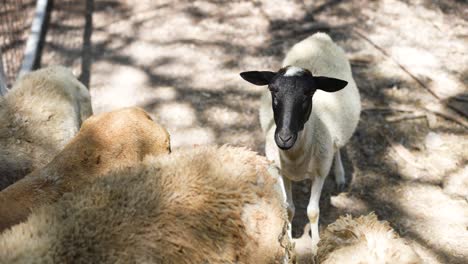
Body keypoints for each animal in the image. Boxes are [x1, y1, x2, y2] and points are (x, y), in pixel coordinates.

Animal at [241, 31, 362, 252]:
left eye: (309, 93)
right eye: (272, 90)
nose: (284, 137)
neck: (295, 157)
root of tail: (320, 36)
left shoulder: (320, 172)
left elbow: (313, 211)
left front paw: (315, 245)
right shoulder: (280, 171)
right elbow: (289, 208)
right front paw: (288, 241)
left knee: (338, 147)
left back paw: (340, 174)